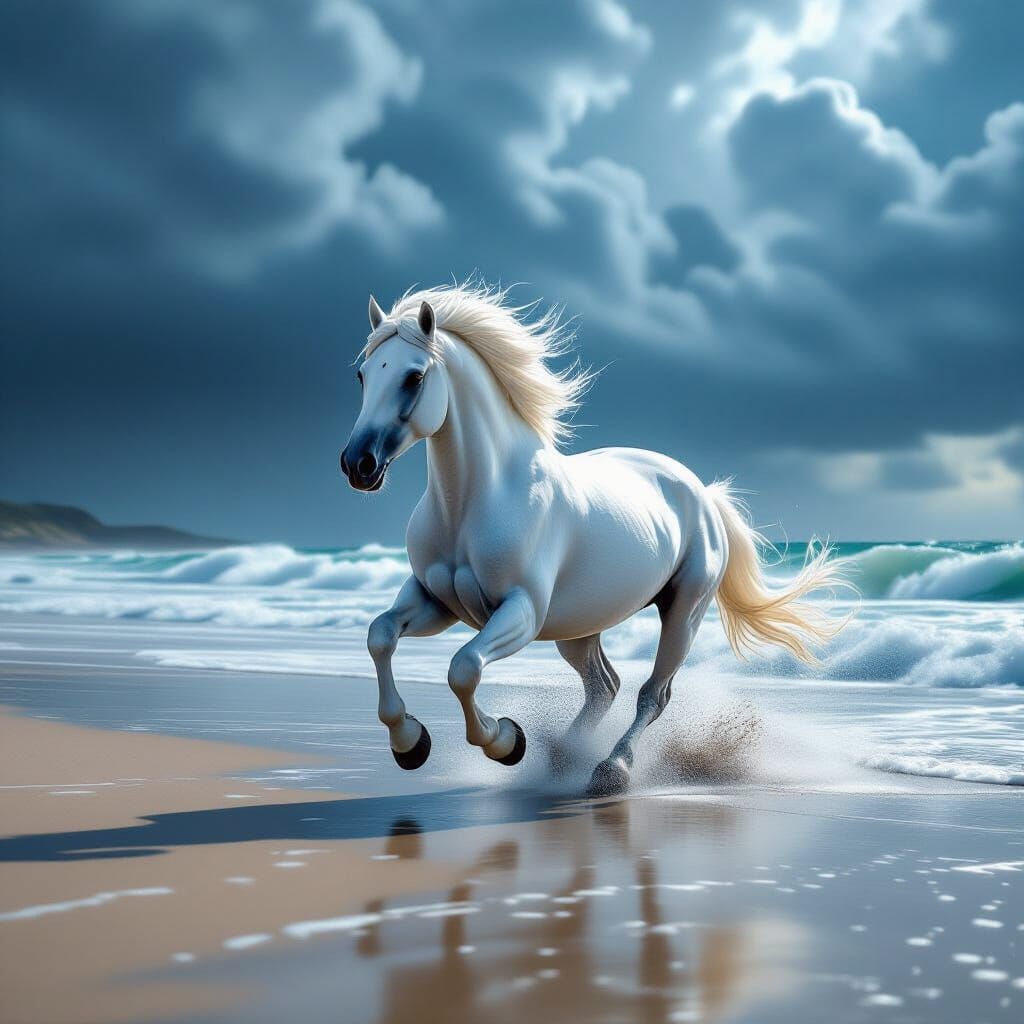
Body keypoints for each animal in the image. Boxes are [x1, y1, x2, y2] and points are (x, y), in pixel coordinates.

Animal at [340, 283, 846, 794]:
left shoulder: (520, 611)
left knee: (652, 694)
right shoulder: (436, 602)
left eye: (413, 377)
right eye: (362, 376)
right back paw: (563, 756)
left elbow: (464, 668)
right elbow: (380, 636)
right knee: (605, 686)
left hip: (684, 611)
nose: (358, 464)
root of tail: (702, 493)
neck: (475, 500)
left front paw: (505, 741)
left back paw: (610, 768)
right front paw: (410, 742)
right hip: (579, 627)